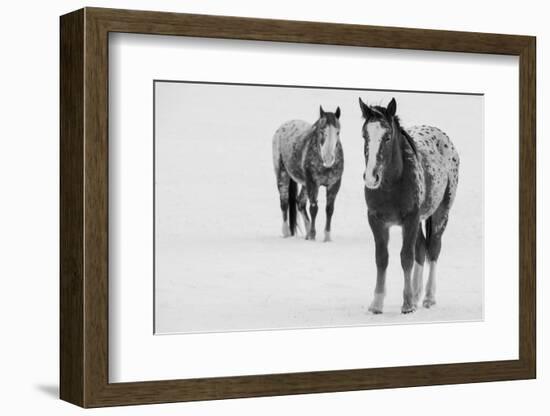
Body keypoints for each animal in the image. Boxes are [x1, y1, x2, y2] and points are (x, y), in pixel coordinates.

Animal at [272, 106, 344, 240]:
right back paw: (287, 233)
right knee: (284, 203)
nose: (328, 159)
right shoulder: (313, 184)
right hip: (282, 175)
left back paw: (306, 233)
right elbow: (314, 208)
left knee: (300, 202)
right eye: (322, 131)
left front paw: (327, 238)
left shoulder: (334, 185)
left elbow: (329, 209)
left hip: (305, 184)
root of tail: (283, 127)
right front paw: (312, 236)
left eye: (338, 132)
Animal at [362, 96, 462, 312]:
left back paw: (428, 297)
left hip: (441, 213)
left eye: (387, 137)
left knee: (433, 248)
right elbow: (381, 259)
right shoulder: (376, 220)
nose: (371, 178)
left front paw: (407, 304)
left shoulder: (410, 219)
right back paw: (417, 294)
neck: (392, 183)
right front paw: (377, 303)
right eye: (365, 135)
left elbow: (406, 257)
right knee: (421, 249)